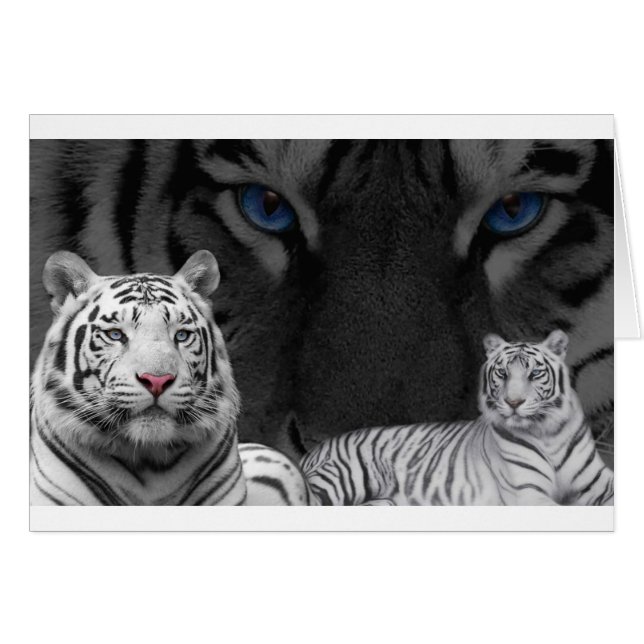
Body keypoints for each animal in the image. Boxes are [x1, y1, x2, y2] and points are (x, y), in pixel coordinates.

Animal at [300, 330, 614, 506]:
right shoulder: (528, 492)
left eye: (535, 374)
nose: (513, 403)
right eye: (503, 373)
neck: (547, 432)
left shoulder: (598, 482)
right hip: (341, 478)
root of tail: (315, 450)